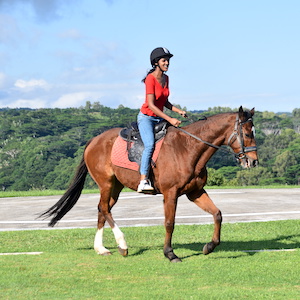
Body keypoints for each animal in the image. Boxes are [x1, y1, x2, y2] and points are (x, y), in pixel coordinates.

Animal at [41, 106, 258, 262]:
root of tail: (94, 140)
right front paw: (170, 253)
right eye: (248, 134)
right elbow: (169, 223)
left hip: (115, 186)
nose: (253, 162)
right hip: (106, 183)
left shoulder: (195, 192)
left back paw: (101, 249)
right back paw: (122, 245)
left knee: (102, 209)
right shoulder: (170, 194)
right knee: (104, 208)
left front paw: (209, 247)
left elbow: (217, 214)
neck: (189, 147)